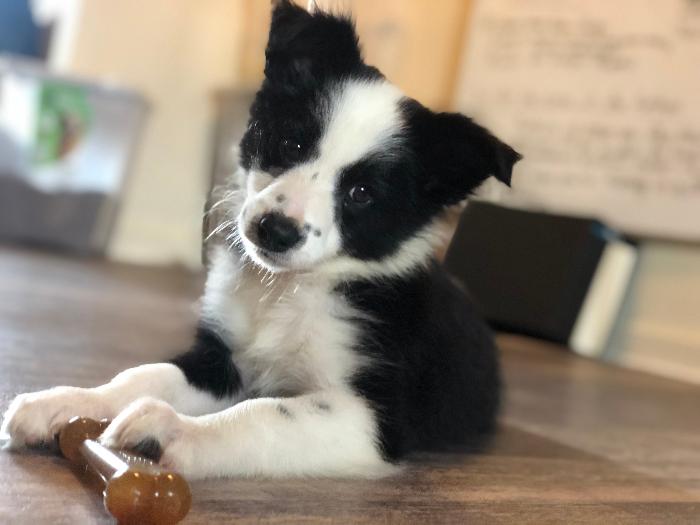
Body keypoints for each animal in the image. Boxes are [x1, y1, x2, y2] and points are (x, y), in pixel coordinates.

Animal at [1, 1, 520, 478]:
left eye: (362, 193)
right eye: (291, 144)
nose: (275, 229)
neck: (289, 290)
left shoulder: (373, 416)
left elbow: (264, 414)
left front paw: (177, 432)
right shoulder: (220, 358)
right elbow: (147, 374)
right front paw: (67, 401)